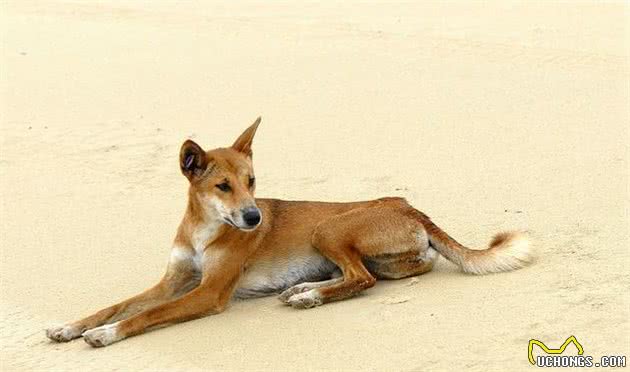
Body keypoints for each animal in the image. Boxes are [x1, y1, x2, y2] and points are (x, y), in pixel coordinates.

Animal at [47, 117, 536, 348]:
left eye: (252, 181)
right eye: (223, 186)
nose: (254, 219)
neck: (206, 229)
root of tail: (408, 205)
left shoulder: (208, 292)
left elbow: (145, 315)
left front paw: (106, 335)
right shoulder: (173, 280)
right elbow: (117, 305)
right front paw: (71, 326)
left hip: (328, 227)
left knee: (362, 279)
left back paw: (309, 296)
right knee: (367, 274)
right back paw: (305, 287)